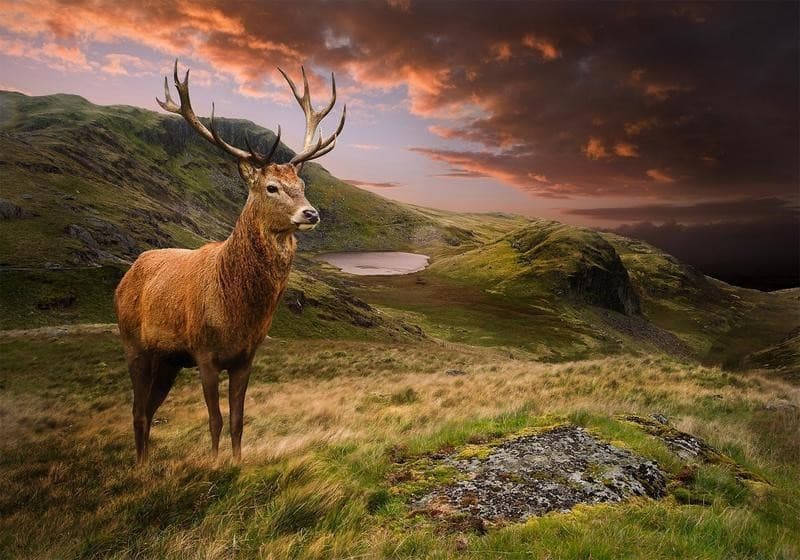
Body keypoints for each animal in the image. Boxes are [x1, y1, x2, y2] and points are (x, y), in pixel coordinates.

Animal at [114, 60, 345, 464]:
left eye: (302, 184)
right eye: (271, 187)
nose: (311, 213)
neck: (235, 309)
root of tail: (125, 277)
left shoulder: (246, 356)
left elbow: (238, 419)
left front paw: (237, 464)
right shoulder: (204, 352)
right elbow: (215, 420)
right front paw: (214, 464)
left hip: (167, 361)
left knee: (149, 409)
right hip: (134, 344)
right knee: (138, 411)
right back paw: (140, 469)